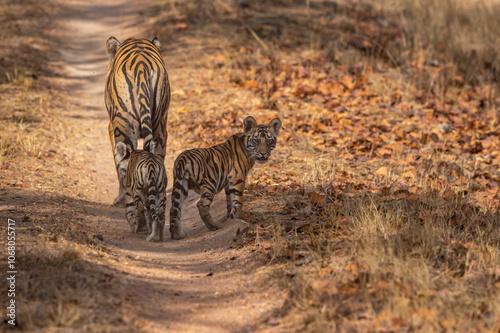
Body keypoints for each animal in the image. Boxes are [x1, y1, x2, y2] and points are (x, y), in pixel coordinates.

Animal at [104, 37, 171, 206]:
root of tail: (141, 65)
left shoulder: (111, 127)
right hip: (159, 126)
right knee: (157, 159)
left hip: (124, 125)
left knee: (124, 164)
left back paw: (122, 200)